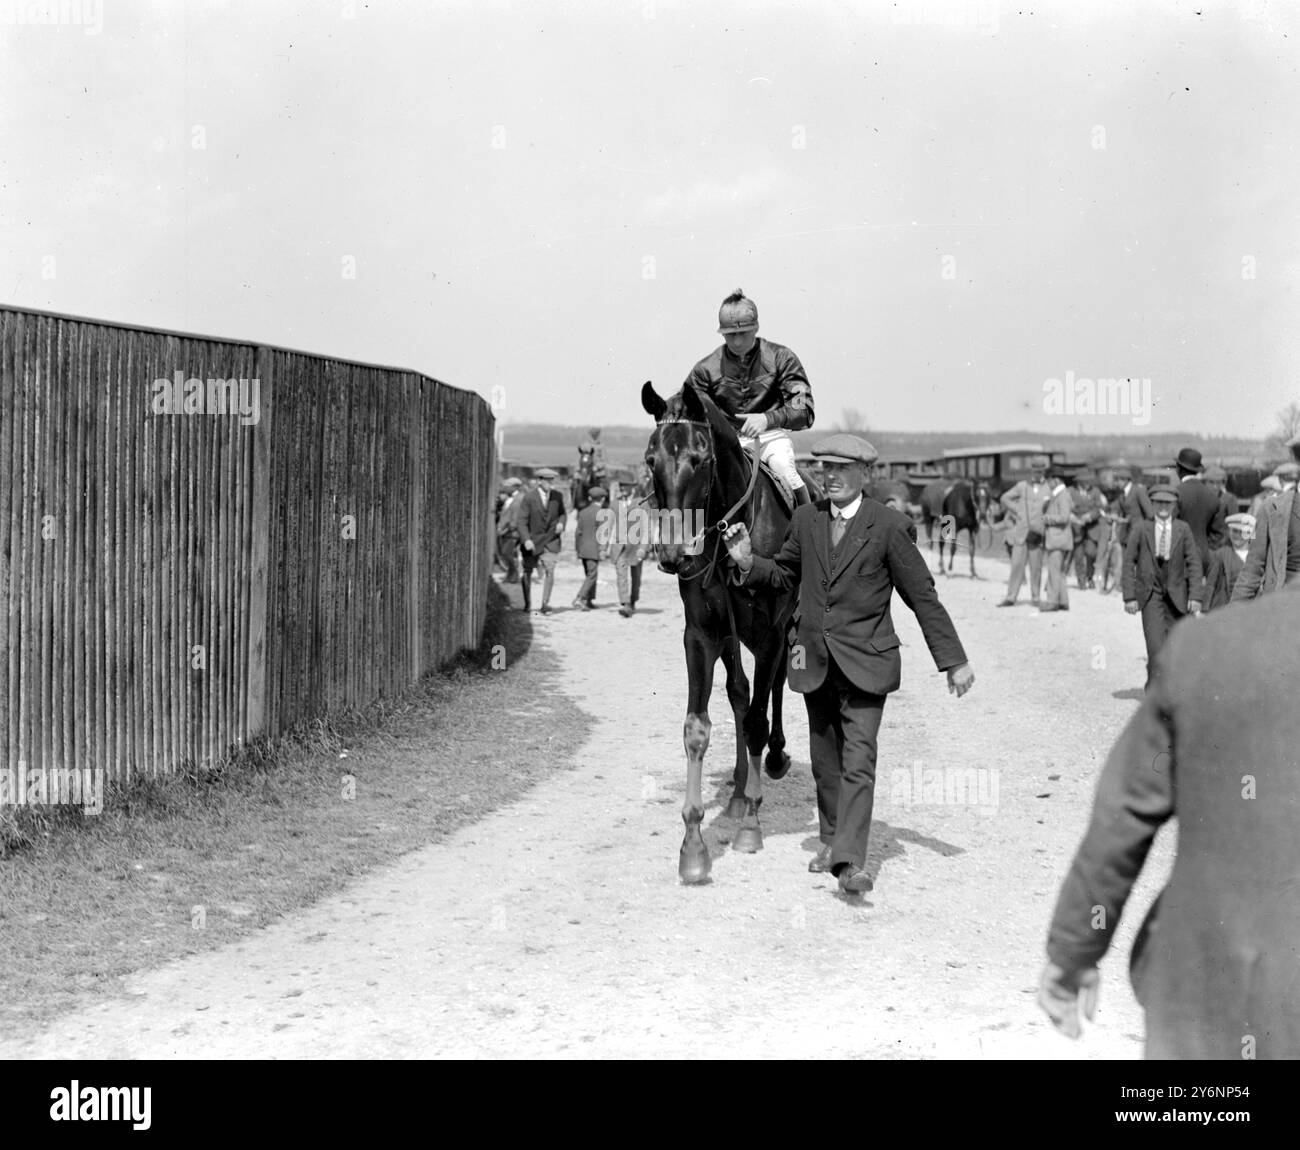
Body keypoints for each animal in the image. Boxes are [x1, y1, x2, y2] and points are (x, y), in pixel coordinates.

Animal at [642, 379, 800, 878]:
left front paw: (751, 822)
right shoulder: (702, 634)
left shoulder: (770, 633)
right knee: (740, 691)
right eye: (651, 459)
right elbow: (699, 727)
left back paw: (773, 760)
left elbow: (755, 721)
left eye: (700, 459)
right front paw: (693, 846)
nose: (673, 554)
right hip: (732, 637)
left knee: (772, 692)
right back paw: (736, 788)